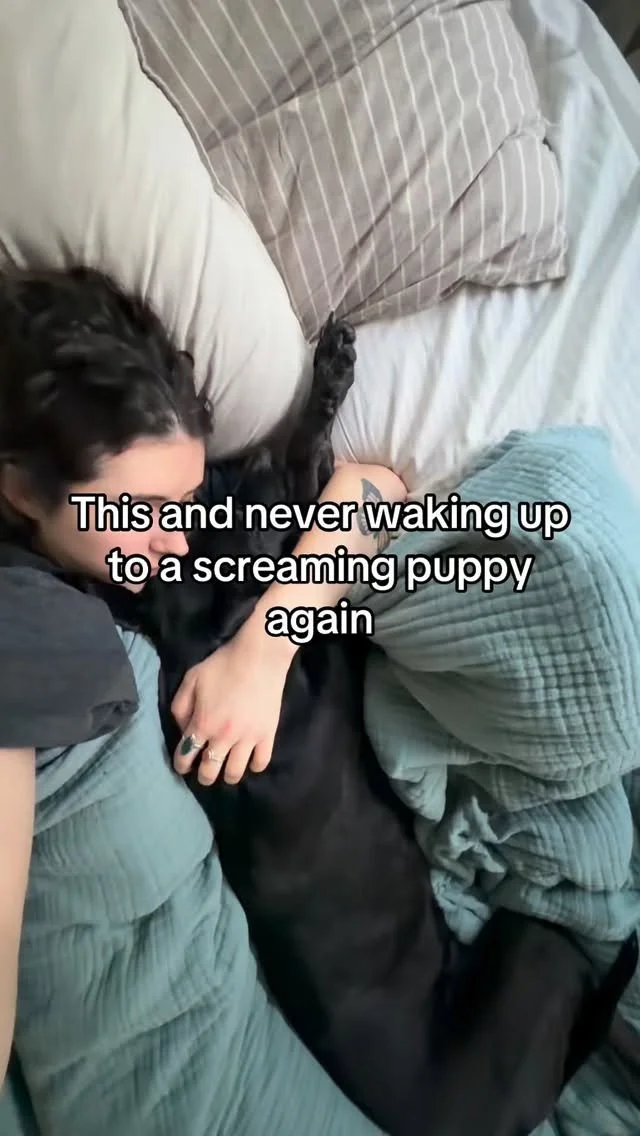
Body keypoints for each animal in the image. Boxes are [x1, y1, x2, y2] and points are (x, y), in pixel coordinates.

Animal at [131, 316, 639, 1136]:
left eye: (208, 490)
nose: (243, 460)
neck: (209, 631)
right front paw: (323, 397)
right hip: (533, 948)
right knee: (596, 996)